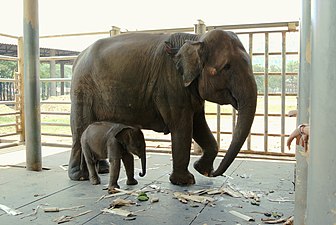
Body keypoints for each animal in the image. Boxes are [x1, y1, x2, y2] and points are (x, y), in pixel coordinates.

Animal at [69, 29, 258, 185]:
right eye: (226, 67)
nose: (215, 173)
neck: (196, 39)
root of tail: (78, 58)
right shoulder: (171, 85)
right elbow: (183, 126)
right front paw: (185, 181)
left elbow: (198, 124)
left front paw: (200, 169)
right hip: (83, 90)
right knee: (80, 128)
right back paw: (80, 176)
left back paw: (103, 169)